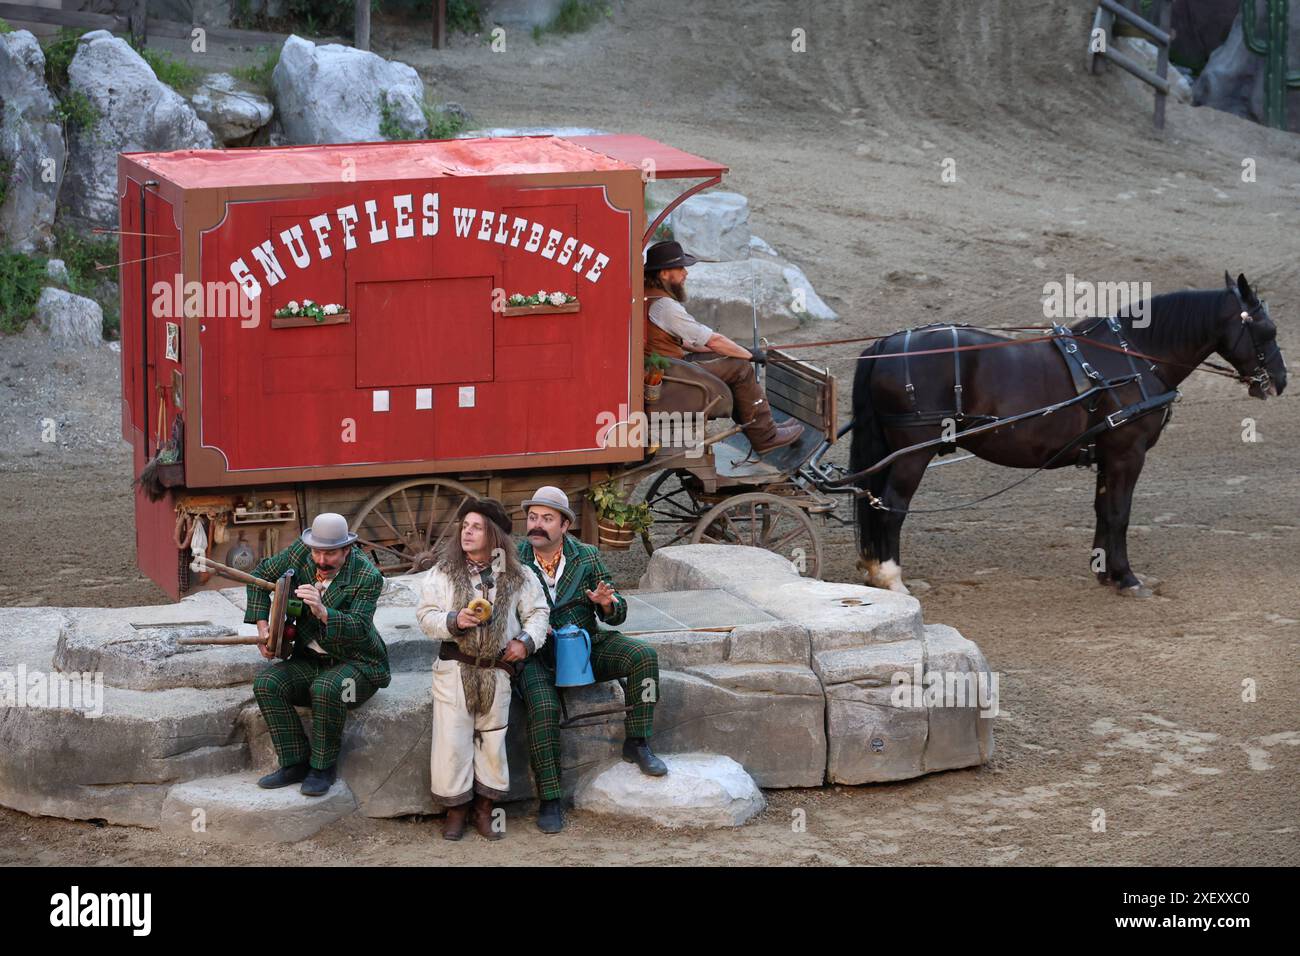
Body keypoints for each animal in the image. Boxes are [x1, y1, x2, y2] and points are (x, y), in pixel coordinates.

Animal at [847, 273, 1284, 595]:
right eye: (1266, 329)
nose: (1280, 381)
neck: (1132, 357)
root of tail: (885, 344)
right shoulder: (1128, 452)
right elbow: (1120, 512)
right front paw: (1127, 577)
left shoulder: (1108, 454)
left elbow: (1104, 509)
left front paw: (1106, 571)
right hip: (912, 452)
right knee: (891, 505)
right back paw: (891, 577)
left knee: (872, 497)